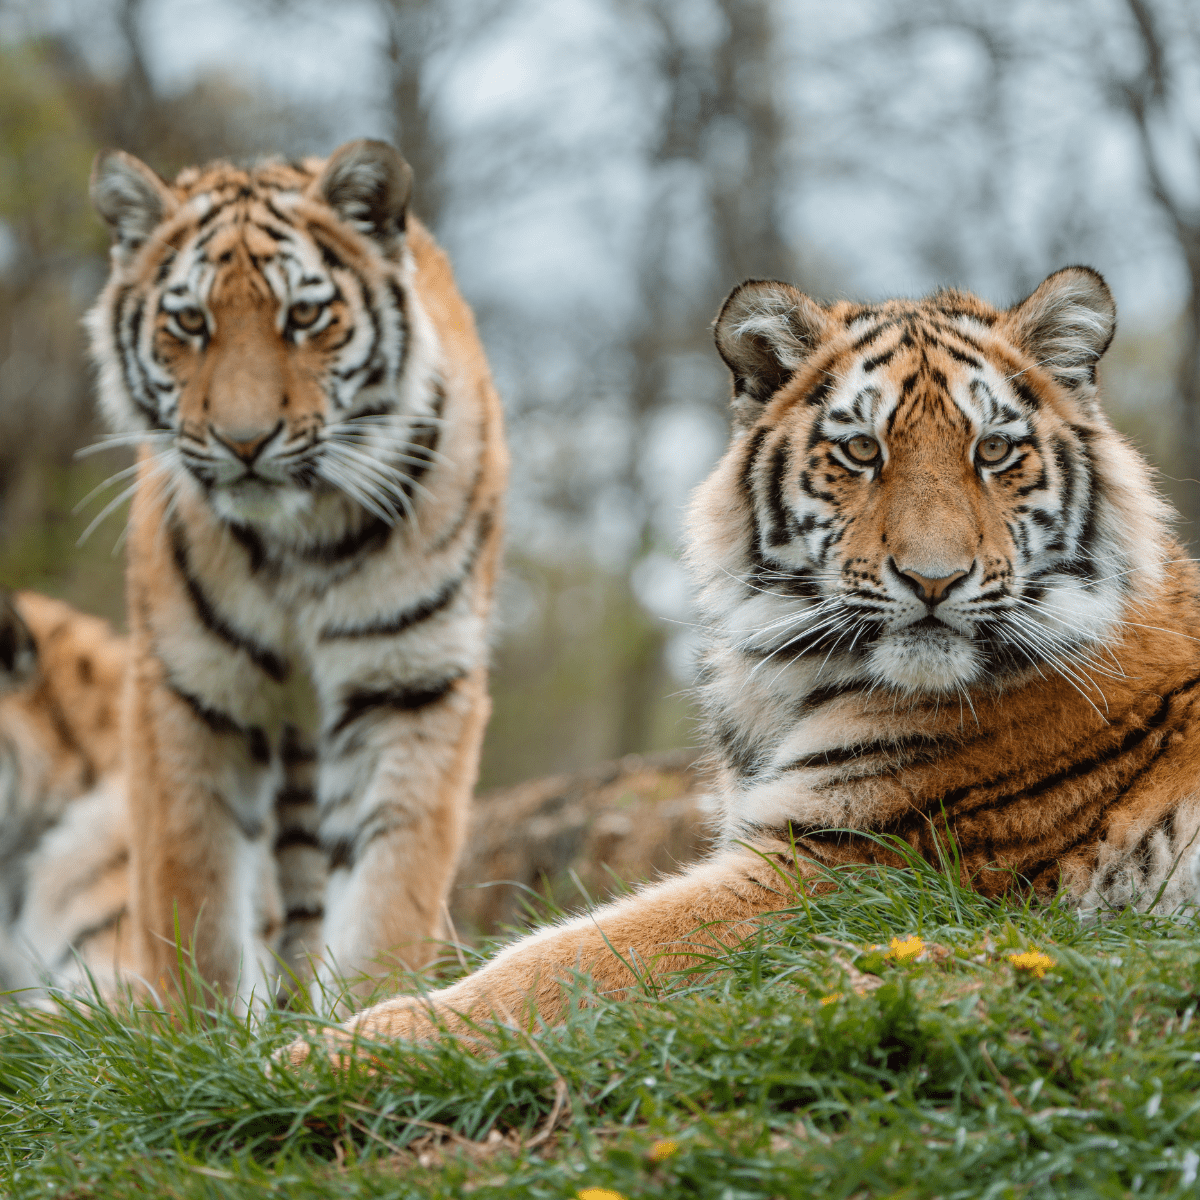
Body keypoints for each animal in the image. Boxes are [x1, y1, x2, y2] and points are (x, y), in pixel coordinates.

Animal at [85, 139, 507, 1007]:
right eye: (190, 321)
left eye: (305, 317)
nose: (245, 441)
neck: (300, 542)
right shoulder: (190, 688)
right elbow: (193, 903)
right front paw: (201, 1032)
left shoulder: (409, 681)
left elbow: (390, 888)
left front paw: (371, 1014)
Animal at [285, 264, 1200, 1061]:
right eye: (862, 452)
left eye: (995, 453)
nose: (935, 580)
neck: (794, 678)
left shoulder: (846, 865)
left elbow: (564, 954)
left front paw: (324, 1051)